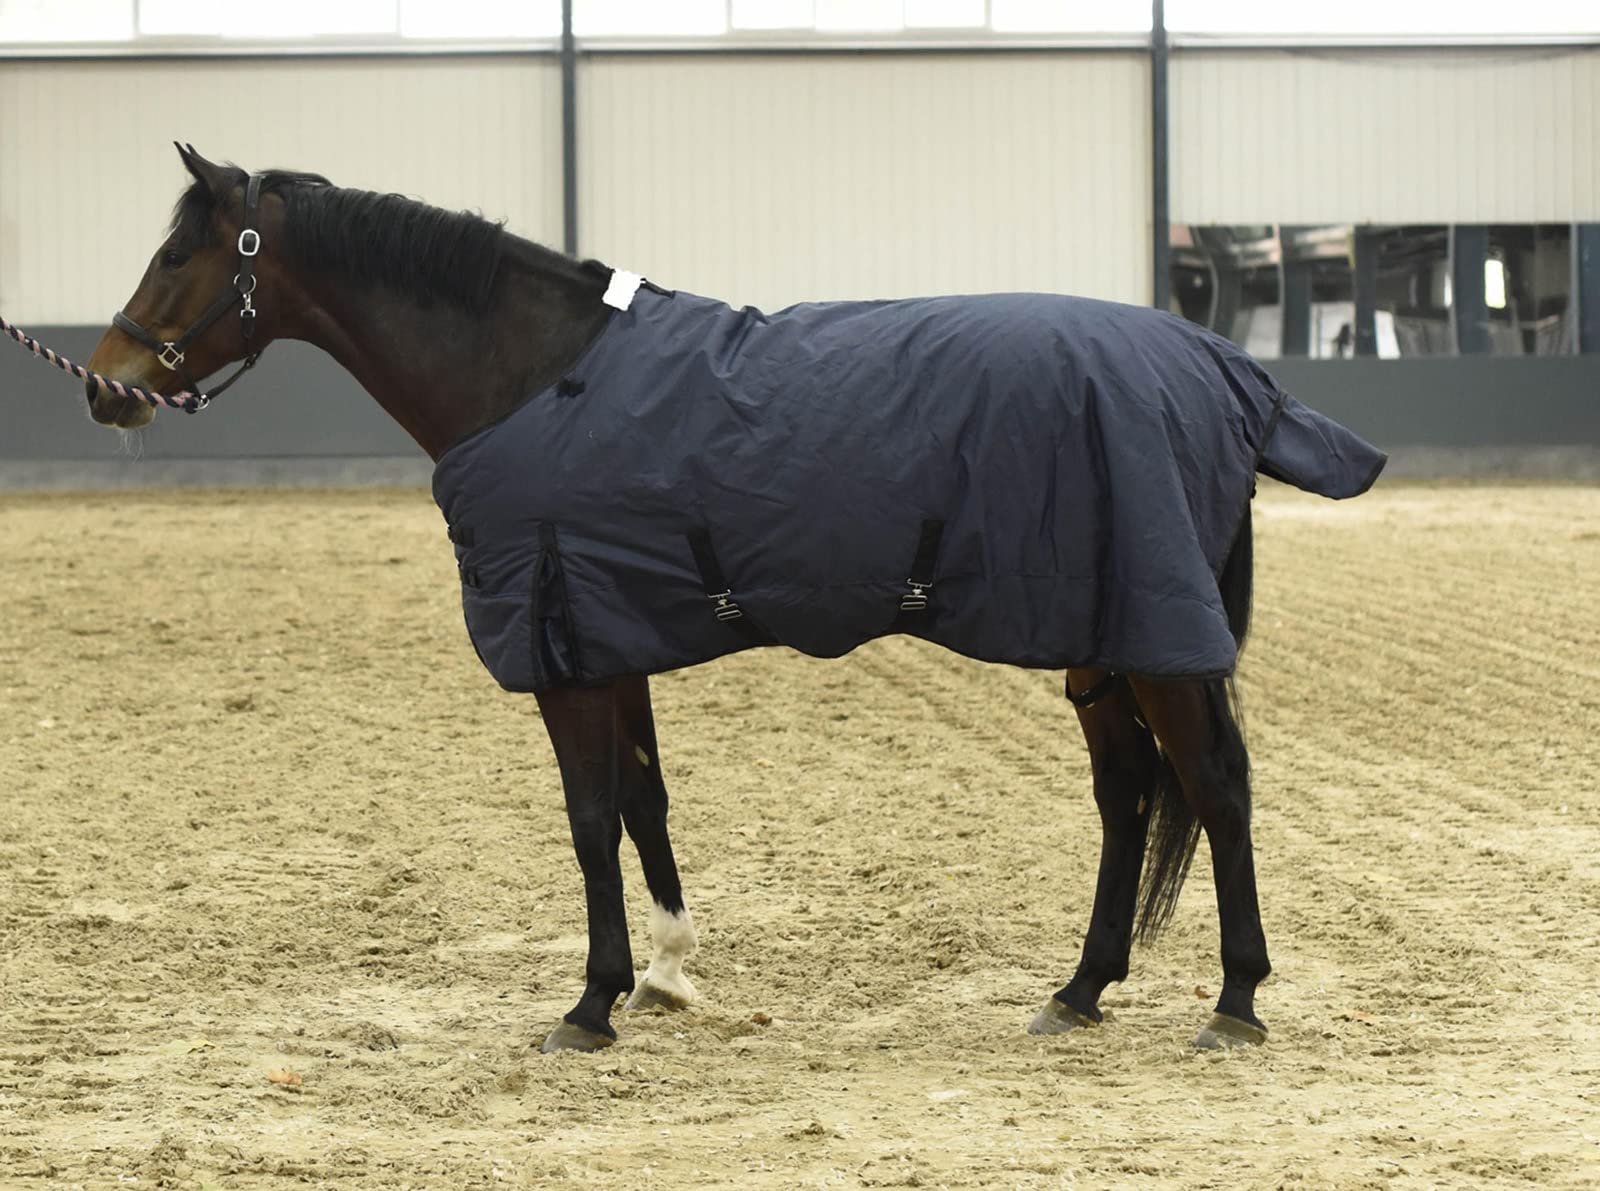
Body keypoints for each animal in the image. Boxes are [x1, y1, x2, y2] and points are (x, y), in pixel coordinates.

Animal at [83, 144, 1384, 1055]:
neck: (533, 375)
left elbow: (590, 819)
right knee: (1127, 797)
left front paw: (592, 1002)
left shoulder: (566, 650)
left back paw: (1233, 1001)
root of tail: (1222, 365)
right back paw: (1078, 991)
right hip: (1099, 639)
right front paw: (665, 972)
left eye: (179, 258)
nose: (105, 385)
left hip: (1158, 642)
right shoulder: (608, 637)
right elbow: (644, 806)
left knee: (1214, 789)